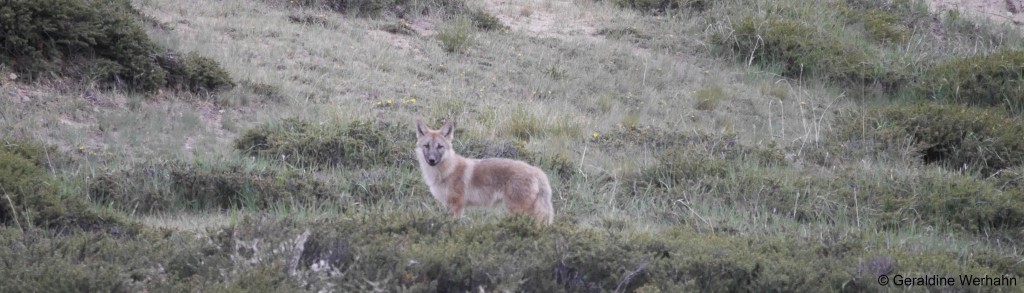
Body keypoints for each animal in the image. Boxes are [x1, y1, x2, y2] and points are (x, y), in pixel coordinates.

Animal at [413, 118, 552, 224]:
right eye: (427, 146)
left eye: (439, 147)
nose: (431, 160)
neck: (447, 171)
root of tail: (536, 171)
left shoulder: (457, 206)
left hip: (517, 211)